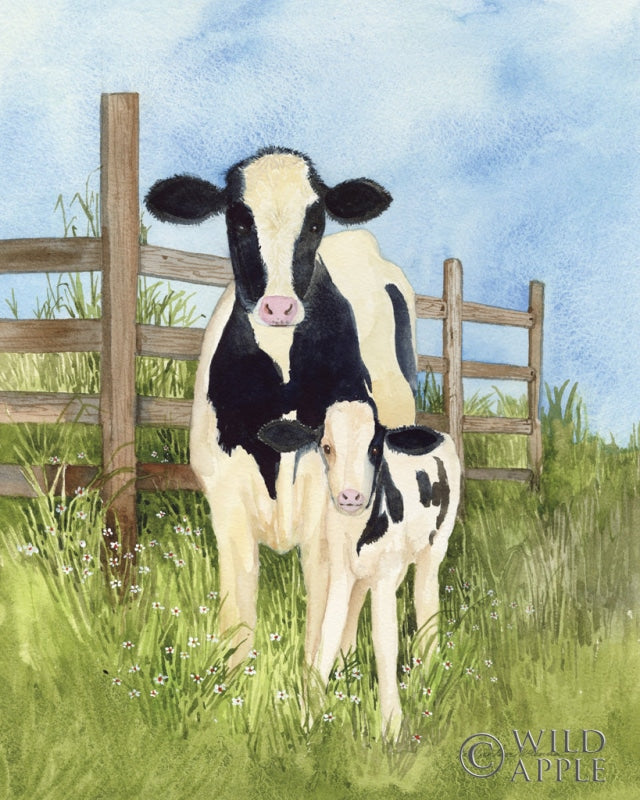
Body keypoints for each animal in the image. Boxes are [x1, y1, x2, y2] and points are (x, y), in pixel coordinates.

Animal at [144, 148, 417, 665]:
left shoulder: (328, 508)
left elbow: (320, 622)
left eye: (314, 221)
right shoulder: (225, 497)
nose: (278, 307)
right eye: (237, 219)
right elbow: (237, 618)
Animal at [259, 400, 461, 738]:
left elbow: (384, 640)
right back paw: (347, 671)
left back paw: (426, 677)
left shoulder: (386, 573)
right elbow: (328, 633)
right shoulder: (342, 570)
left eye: (376, 447)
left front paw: (392, 727)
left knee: (426, 603)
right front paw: (310, 719)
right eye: (327, 447)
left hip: (435, 546)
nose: (350, 496)